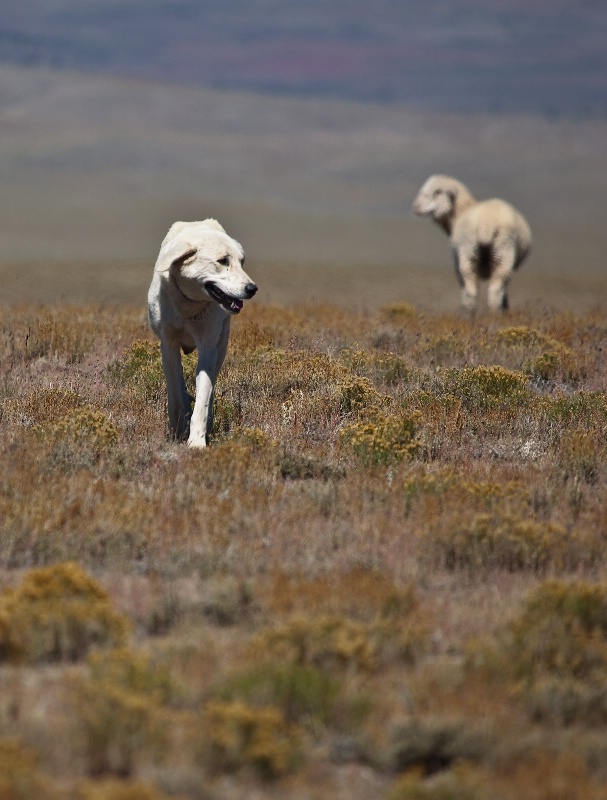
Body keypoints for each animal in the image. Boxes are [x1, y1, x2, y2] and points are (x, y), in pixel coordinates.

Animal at [152, 219, 258, 446]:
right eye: (222, 261)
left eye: (241, 262)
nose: (252, 288)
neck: (189, 306)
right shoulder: (168, 344)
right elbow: (175, 393)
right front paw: (177, 430)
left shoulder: (208, 346)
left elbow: (203, 397)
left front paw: (197, 441)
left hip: (221, 345)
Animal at [414, 175, 532, 312]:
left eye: (437, 192)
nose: (416, 207)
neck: (461, 212)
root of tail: (487, 224)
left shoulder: (456, 262)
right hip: (504, 254)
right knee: (495, 292)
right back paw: (495, 314)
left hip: (470, 252)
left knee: (471, 292)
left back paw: (468, 314)